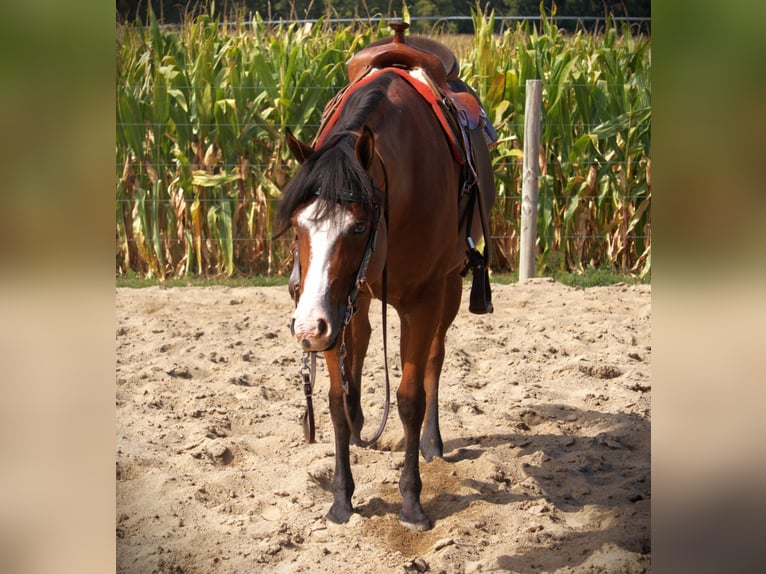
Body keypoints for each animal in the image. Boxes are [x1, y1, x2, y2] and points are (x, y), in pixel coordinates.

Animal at [275, 27, 494, 531]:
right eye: (297, 224)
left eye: (358, 226)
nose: (305, 328)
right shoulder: (333, 308)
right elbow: (335, 400)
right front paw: (341, 499)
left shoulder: (424, 299)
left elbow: (411, 397)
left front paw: (412, 503)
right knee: (358, 352)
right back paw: (361, 429)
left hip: (448, 290)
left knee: (434, 360)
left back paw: (432, 444)